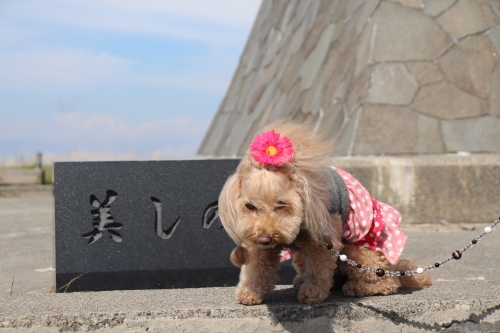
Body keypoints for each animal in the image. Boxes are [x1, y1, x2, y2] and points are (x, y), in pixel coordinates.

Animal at [218, 121, 430, 304]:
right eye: (250, 206)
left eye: (281, 204)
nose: (264, 238)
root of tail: (396, 268)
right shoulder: (258, 243)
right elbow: (257, 266)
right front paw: (250, 292)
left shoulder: (323, 237)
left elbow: (318, 268)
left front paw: (312, 293)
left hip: (360, 252)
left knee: (386, 282)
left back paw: (357, 287)